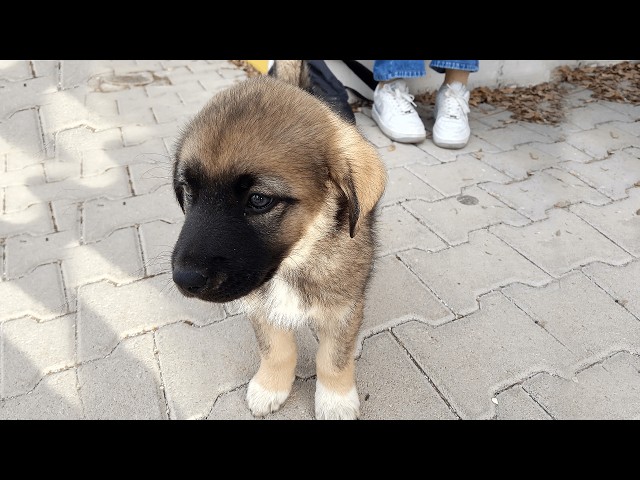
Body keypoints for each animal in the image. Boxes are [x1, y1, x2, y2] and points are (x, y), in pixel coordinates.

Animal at [170, 61, 388, 420]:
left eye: (259, 200)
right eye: (189, 190)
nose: (184, 279)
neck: (298, 258)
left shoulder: (342, 306)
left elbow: (333, 358)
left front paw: (336, 399)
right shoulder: (260, 305)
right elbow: (276, 350)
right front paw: (271, 386)